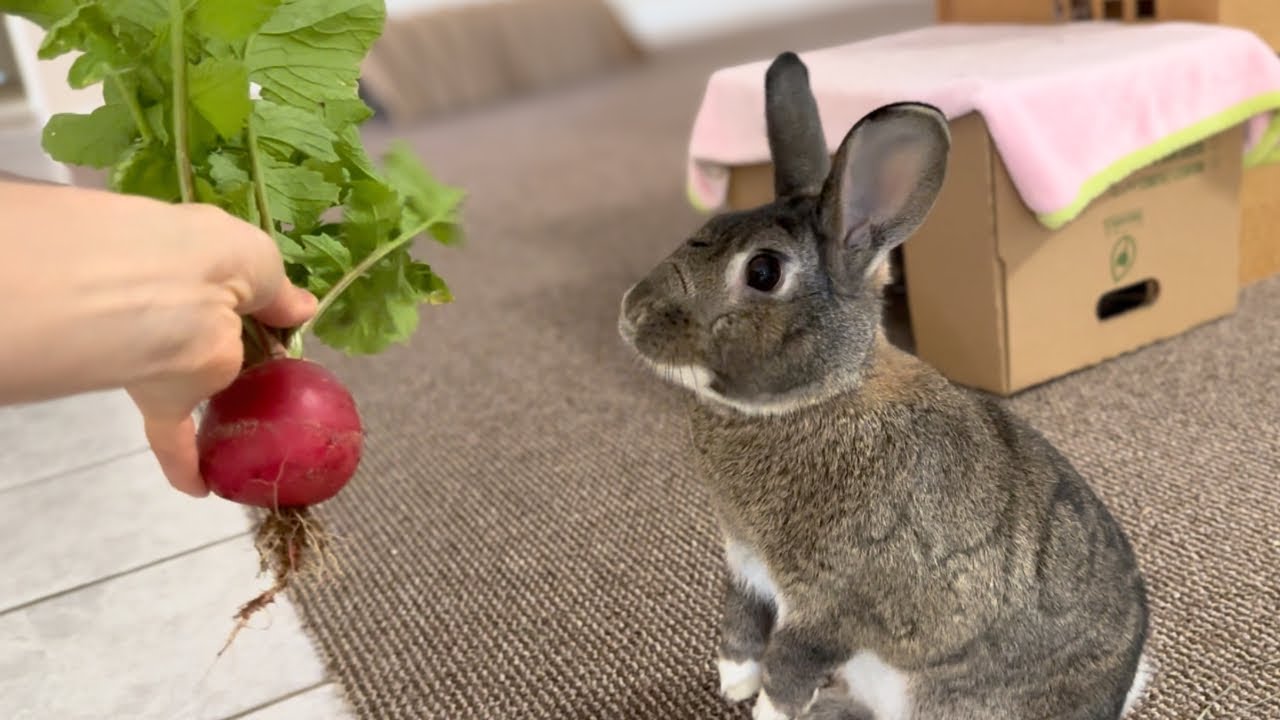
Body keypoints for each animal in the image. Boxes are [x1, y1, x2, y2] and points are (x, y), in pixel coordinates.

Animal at [616, 51, 1152, 720]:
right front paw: (733, 682)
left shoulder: (835, 607)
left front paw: (763, 711)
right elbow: (740, 624)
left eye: (762, 272)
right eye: (712, 223)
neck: (818, 397)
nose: (631, 314)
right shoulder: (745, 564)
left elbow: (788, 666)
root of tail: (1120, 695)